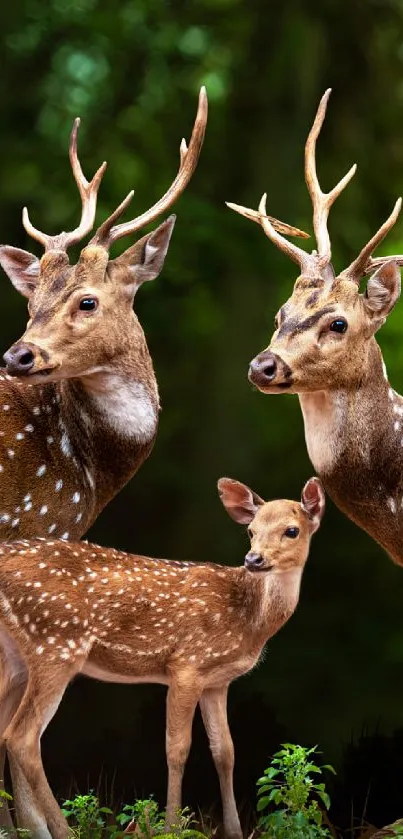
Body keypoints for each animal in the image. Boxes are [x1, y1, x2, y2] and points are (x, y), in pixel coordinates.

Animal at [0, 476, 326, 836]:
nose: (253, 559)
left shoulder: (217, 682)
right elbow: (177, 748)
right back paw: (61, 831)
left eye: (292, 530)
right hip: (55, 644)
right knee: (22, 738)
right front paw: (171, 827)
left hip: (18, 657)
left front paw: (234, 831)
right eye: (251, 531)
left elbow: (225, 751)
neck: (248, 619)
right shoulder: (187, 664)